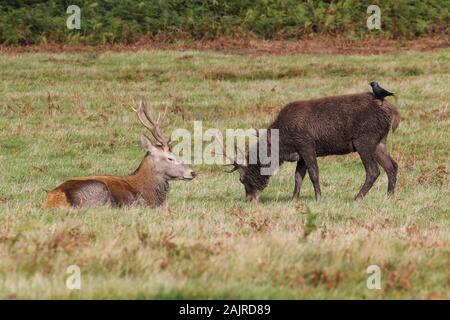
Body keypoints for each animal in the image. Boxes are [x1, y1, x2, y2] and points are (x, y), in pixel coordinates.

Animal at [221, 92, 400, 202]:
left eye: (242, 179)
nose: (249, 199)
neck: (283, 145)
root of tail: (394, 113)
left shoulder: (306, 145)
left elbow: (314, 174)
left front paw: (319, 197)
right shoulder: (300, 154)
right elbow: (298, 176)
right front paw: (293, 199)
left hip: (364, 140)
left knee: (373, 170)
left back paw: (357, 198)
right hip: (379, 142)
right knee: (392, 166)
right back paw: (390, 197)